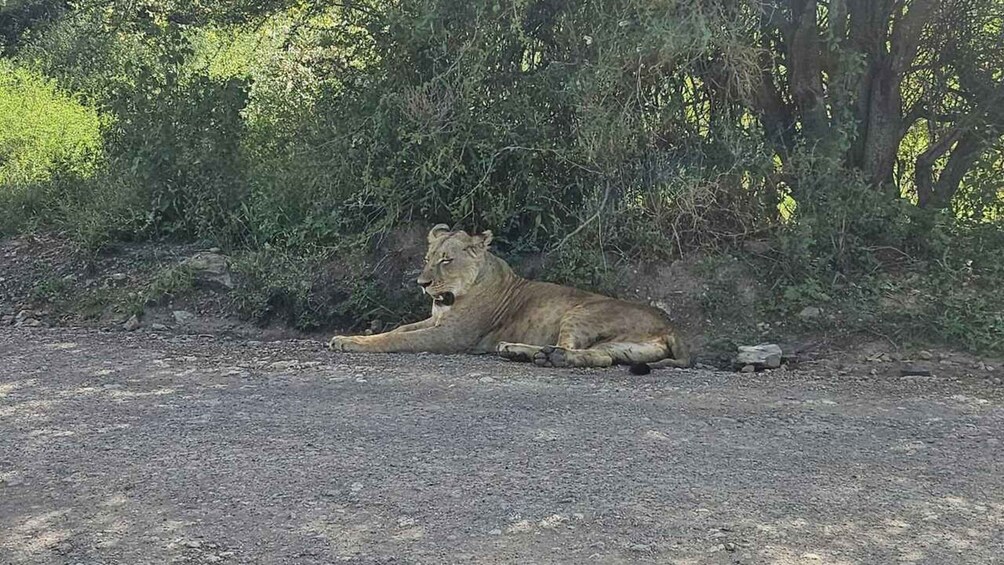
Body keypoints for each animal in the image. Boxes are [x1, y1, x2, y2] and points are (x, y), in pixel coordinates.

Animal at [328, 224, 690, 373]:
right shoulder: (435, 320)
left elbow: (396, 339)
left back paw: (542, 355)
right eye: (428, 258)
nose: (422, 283)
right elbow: (400, 329)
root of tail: (671, 326)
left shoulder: (451, 336)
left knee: (575, 350)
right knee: (600, 358)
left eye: (447, 260)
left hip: (581, 311)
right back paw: (523, 352)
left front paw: (348, 341)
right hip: (617, 346)